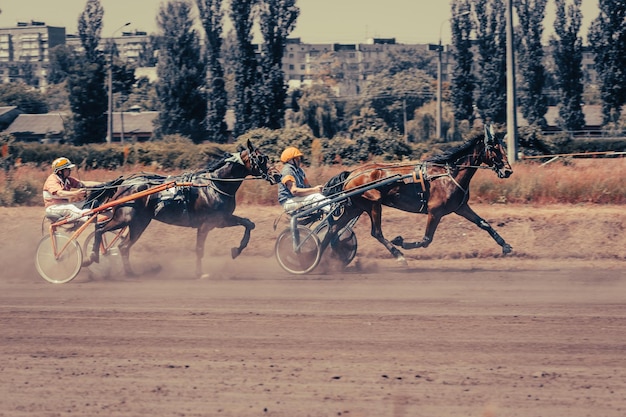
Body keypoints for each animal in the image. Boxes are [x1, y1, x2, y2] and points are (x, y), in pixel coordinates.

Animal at [81, 138, 280, 278]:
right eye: (260, 158)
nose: (277, 175)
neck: (214, 184)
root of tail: (125, 182)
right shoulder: (208, 224)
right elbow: (199, 249)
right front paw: (200, 273)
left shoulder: (220, 220)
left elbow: (249, 224)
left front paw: (236, 250)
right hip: (125, 217)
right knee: (99, 228)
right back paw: (91, 257)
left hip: (139, 222)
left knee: (123, 246)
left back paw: (130, 273)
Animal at [322, 123, 512, 264]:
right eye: (494, 149)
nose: (508, 171)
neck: (448, 175)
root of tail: (351, 174)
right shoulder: (435, 211)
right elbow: (426, 240)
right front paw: (401, 241)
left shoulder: (461, 207)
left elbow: (484, 223)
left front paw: (505, 245)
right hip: (373, 203)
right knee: (376, 232)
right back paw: (398, 255)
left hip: (355, 207)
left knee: (333, 229)